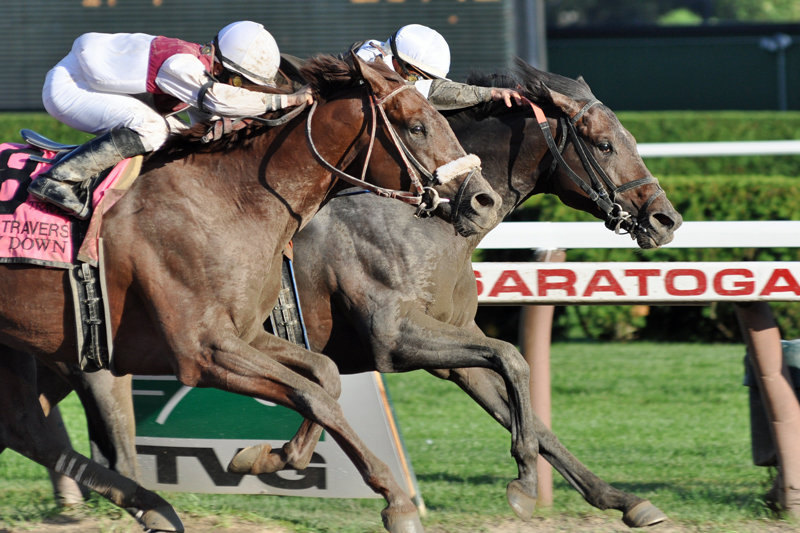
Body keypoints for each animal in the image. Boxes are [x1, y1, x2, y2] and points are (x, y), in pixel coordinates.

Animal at [0, 55, 500, 532]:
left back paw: (155, 507)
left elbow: (324, 375)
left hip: (33, 343)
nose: (485, 200)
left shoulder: (246, 335)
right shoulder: (202, 352)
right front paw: (396, 502)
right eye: (416, 126)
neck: (227, 199)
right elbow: (314, 394)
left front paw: (269, 457)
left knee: (24, 428)